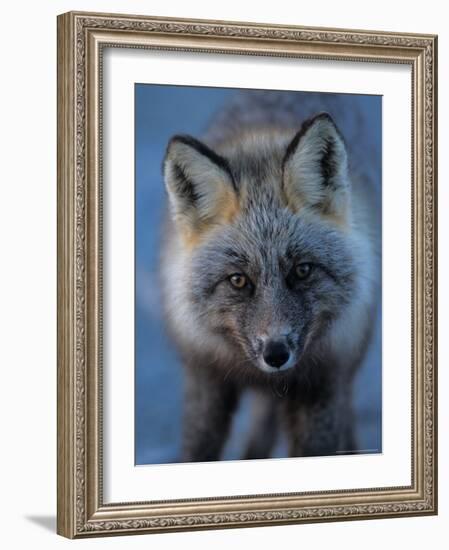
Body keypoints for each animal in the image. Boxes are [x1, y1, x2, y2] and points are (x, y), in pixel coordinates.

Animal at [159, 91, 380, 466]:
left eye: (302, 270)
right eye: (238, 281)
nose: (276, 353)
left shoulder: (323, 384)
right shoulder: (205, 379)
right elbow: (197, 451)